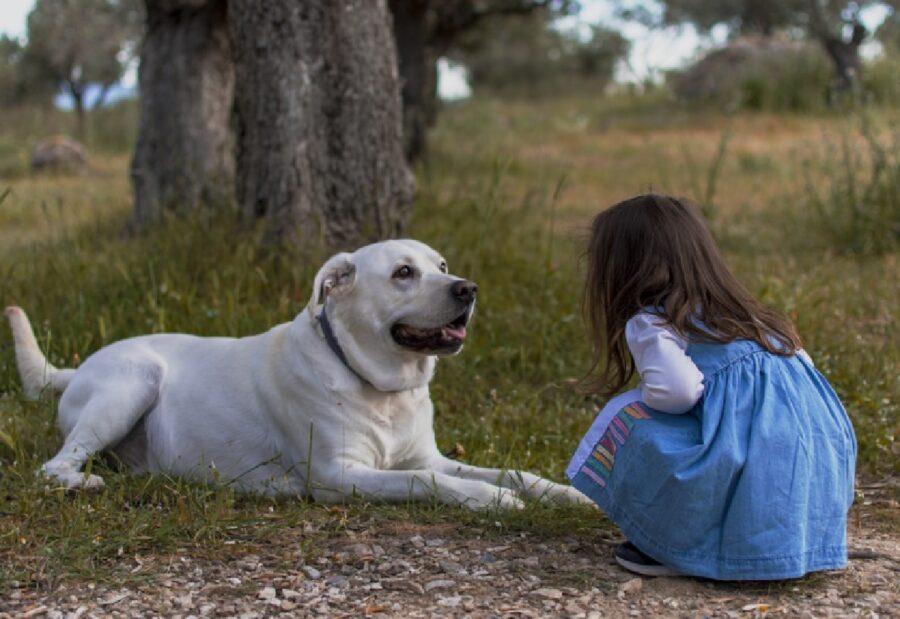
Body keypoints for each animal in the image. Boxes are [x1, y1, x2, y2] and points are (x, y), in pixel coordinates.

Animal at [7, 240, 588, 512]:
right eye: (403, 273)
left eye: (441, 265)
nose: (467, 288)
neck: (379, 387)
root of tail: (76, 368)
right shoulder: (339, 475)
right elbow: (428, 482)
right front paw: (491, 501)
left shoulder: (428, 455)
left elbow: (512, 472)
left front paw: (565, 494)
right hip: (133, 382)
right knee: (52, 466)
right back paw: (83, 483)